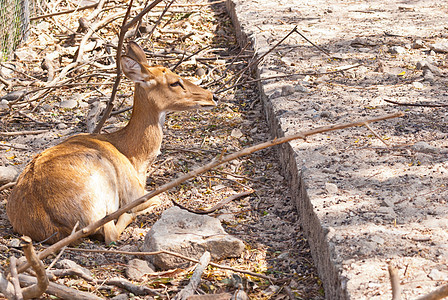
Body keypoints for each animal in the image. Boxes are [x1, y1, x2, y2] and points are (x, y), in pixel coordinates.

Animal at [6, 41, 217, 244]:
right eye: (174, 82)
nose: (212, 96)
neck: (135, 157)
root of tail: (52, 224)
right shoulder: (134, 191)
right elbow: (159, 197)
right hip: (101, 193)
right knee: (110, 232)